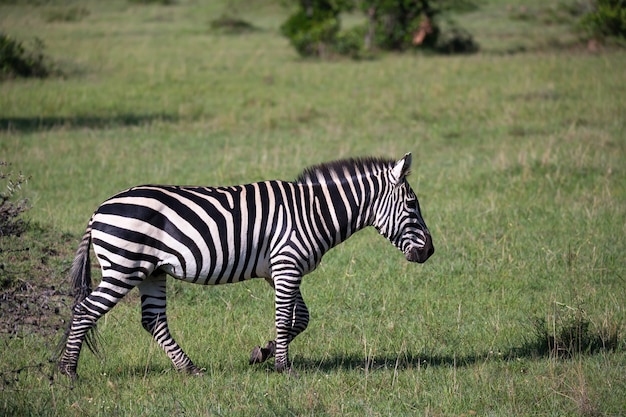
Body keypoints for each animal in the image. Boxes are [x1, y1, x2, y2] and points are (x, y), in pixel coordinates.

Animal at [58, 152, 432, 376]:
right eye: (412, 205)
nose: (429, 252)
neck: (313, 211)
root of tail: (99, 209)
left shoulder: (280, 269)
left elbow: (301, 319)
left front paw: (262, 352)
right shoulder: (287, 264)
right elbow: (284, 318)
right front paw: (282, 366)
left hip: (151, 271)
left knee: (153, 321)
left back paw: (190, 369)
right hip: (124, 268)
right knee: (86, 310)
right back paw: (67, 371)